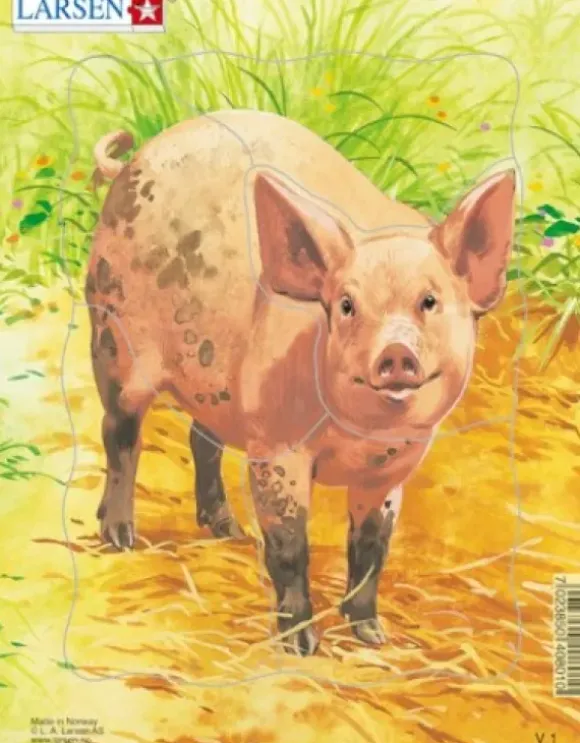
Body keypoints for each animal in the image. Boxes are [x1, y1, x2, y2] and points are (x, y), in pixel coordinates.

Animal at [87, 109, 515, 656]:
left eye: (430, 301)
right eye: (347, 304)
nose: (395, 352)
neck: (360, 437)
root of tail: (133, 161)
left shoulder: (394, 467)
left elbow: (371, 547)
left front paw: (372, 636)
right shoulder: (277, 448)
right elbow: (289, 546)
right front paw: (301, 646)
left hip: (216, 385)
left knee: (201, 437)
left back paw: (228, 530)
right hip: (114, 337)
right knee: (120, 433)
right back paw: (120, 537)